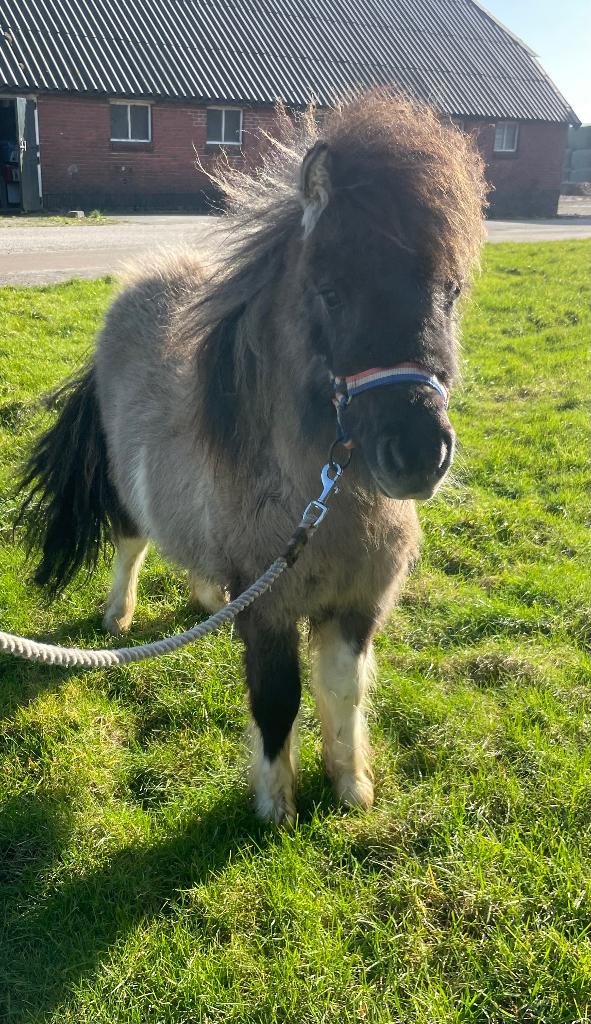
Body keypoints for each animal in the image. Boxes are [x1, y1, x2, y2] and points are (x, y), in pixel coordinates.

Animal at [16, 94, 486, 823]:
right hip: (126, 495)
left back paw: (208, 598)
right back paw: (118, 615)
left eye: (450, 292)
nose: (416, 455)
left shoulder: (356, 606)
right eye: (330, 292)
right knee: (131, 542)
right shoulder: (270, 614)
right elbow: (277, 699)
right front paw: (276, 807)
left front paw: (352, 787)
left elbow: (343, 691)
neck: (319, 503)